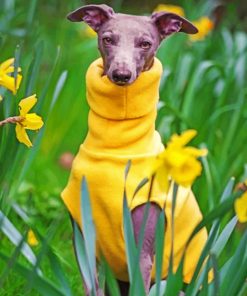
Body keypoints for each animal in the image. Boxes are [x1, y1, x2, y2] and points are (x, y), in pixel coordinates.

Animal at [62, 4, 208, 296]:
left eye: (145, 43)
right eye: (107, 39)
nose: (121, 75)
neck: (117, 147)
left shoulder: (142, 251)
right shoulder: (82, 240)